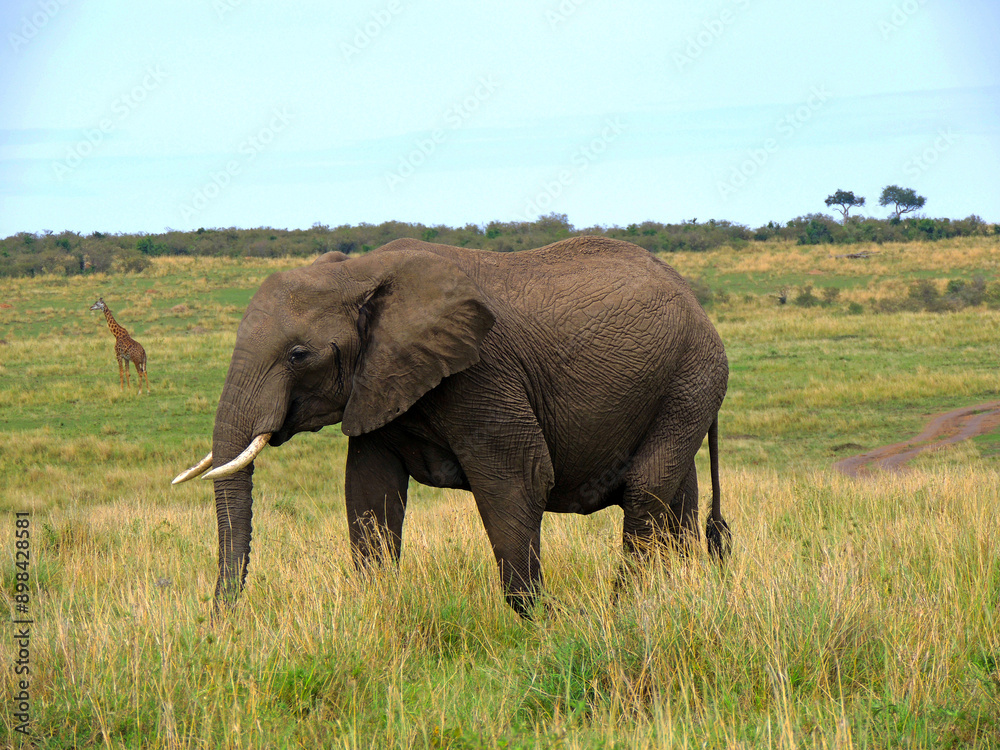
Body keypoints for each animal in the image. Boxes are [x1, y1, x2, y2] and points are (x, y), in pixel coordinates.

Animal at [173, 236, 730, 617]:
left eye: (297, 355)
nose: (217, 621)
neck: (360, 272)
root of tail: (695, 300)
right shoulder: (381, 382)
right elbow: (369, 494)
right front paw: (378, 610)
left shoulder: (482, 373)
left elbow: (518, 482)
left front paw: (544, 620)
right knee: (675, 497)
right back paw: (680, 596)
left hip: (693, 376)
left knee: (646, 489)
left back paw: (623, 611)